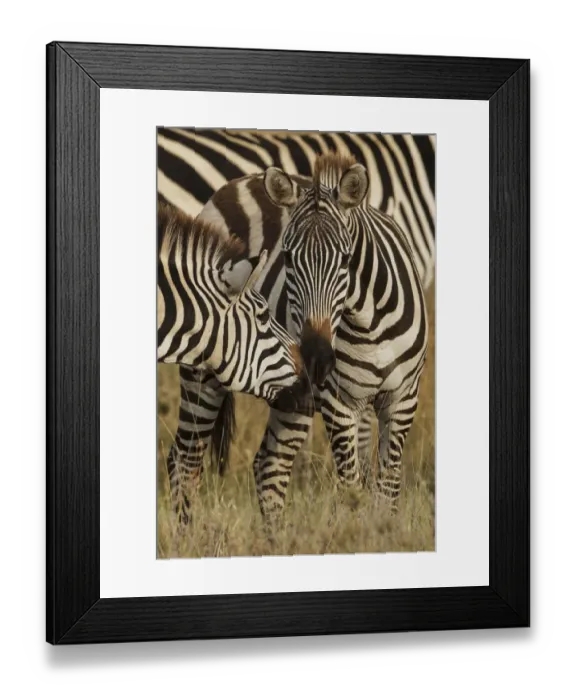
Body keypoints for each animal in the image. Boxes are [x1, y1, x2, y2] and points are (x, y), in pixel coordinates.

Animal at [196, 153, 429, 520]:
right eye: (287, 257)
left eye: (347, 260)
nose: (315, 357)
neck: (369, 323)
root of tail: (238, 181)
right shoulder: (338, 402)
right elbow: (351, 488)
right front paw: (358, 531)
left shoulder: (403, 399)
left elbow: (387, 490)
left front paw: (385, 529)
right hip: (203, 368)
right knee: (183, 461)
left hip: (292, 395)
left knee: (269, 465)